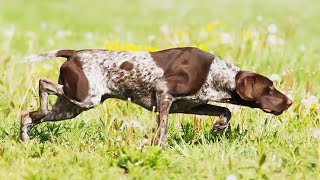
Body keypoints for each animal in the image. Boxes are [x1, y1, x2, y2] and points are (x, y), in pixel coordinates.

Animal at [21, 47, 292, 145]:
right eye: (269, 89)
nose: (289, 101)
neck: (215, 73)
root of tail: (74, 53)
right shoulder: (164, 94)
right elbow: (162, 130)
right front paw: (156, 148)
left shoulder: (190, 105)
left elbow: (225, 110)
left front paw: (219, 128)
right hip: (85, 96)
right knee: (43, 83)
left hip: (71, 106)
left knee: (28, 116)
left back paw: (26, 136)